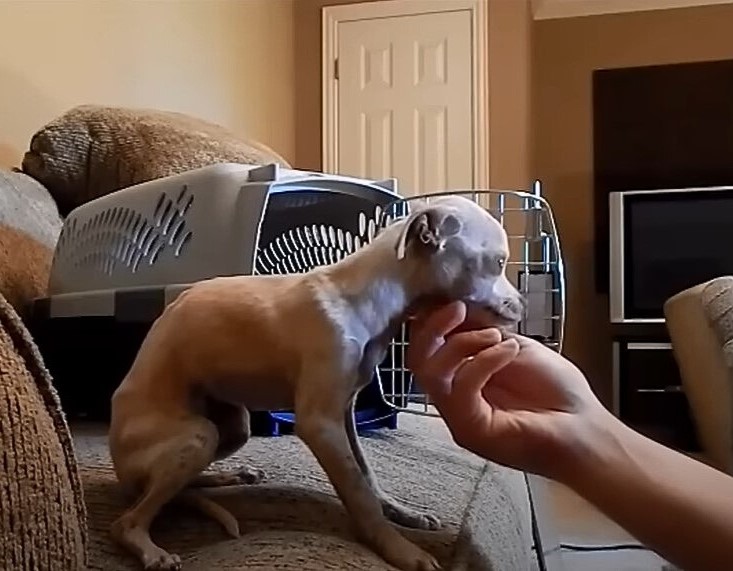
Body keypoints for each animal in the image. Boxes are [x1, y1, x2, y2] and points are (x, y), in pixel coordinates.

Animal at [106, 194, 524, 568]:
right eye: (499, 262)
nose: (522, 306)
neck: (367, 296)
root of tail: (121, 473)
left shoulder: (345, 413)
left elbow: (366, 475)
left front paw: (403, 513)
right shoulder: (320, 424)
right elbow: (357, 491)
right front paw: (400, 550)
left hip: (233, 427)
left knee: (184, 485)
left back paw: (232, 475)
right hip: (198, 435)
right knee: (129, 520)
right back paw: (151, 549)